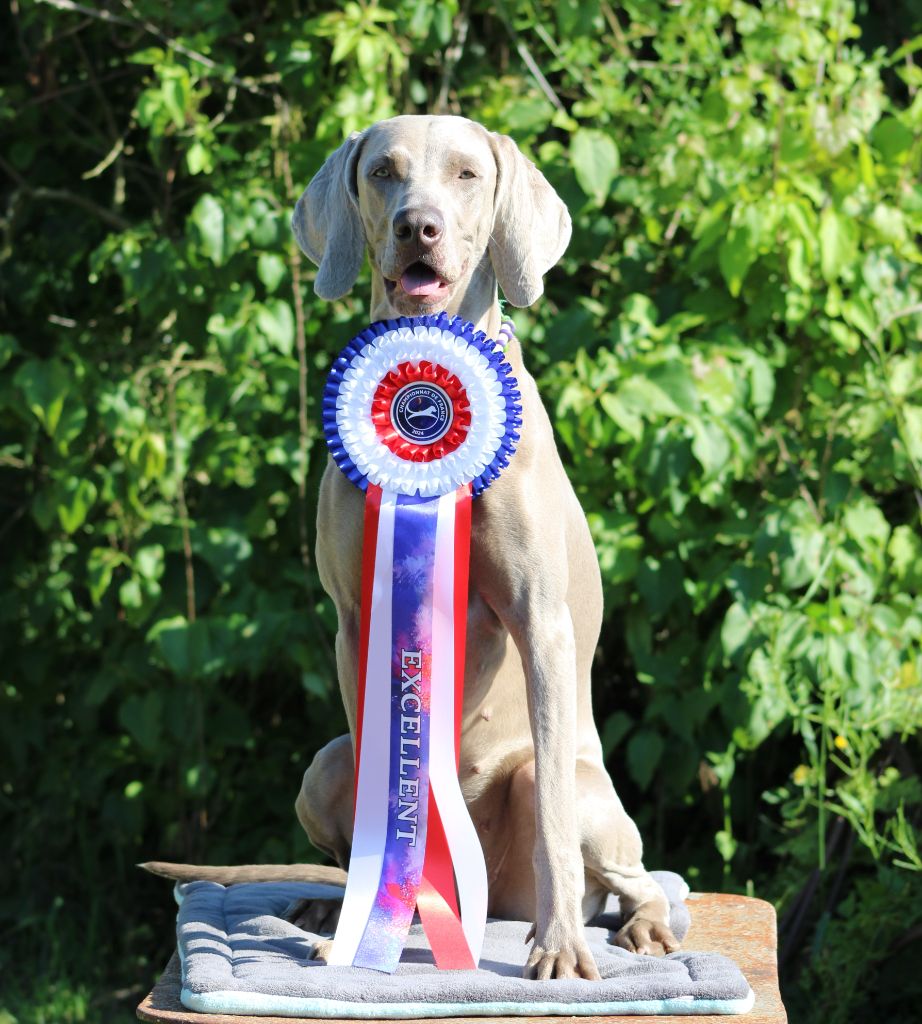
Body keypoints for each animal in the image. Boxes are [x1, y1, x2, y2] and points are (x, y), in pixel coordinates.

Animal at [145, 114, 676, 983]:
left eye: (466, 174)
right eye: (384, 172)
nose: (416, 227)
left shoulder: (542, 621)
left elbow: (556, 825)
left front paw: (561, 950)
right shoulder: (356, 621)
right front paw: (352, 932)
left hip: (576, 794)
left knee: (630, 869)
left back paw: (634, 926)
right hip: (319, 765)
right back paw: (333, 905)